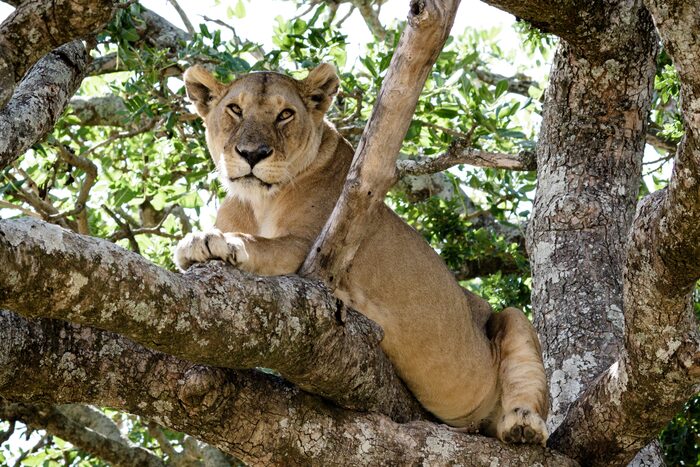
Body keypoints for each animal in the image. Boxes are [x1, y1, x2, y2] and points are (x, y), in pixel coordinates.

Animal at [174, 63, 549, 445]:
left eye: (285, 114)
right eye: (235, 109)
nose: (252, 154)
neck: (256, 202)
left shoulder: (309, 250)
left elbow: (259, 244)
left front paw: (210, 240)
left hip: (512, 320)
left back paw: (523, 427)